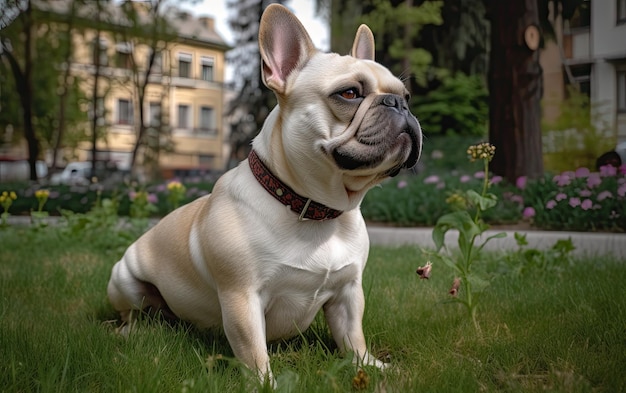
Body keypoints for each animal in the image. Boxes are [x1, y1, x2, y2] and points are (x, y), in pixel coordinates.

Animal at [107, 3, 422, 382]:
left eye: (407, 96)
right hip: (124, 280)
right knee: (131, 313)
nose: (398, 104)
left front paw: (371, 365)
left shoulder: (348, 292)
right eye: (348, 94)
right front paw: (265, 384)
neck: (315, 208)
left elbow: (353, 337)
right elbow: (253, 351)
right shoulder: (242, 298)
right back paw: (128, 331)